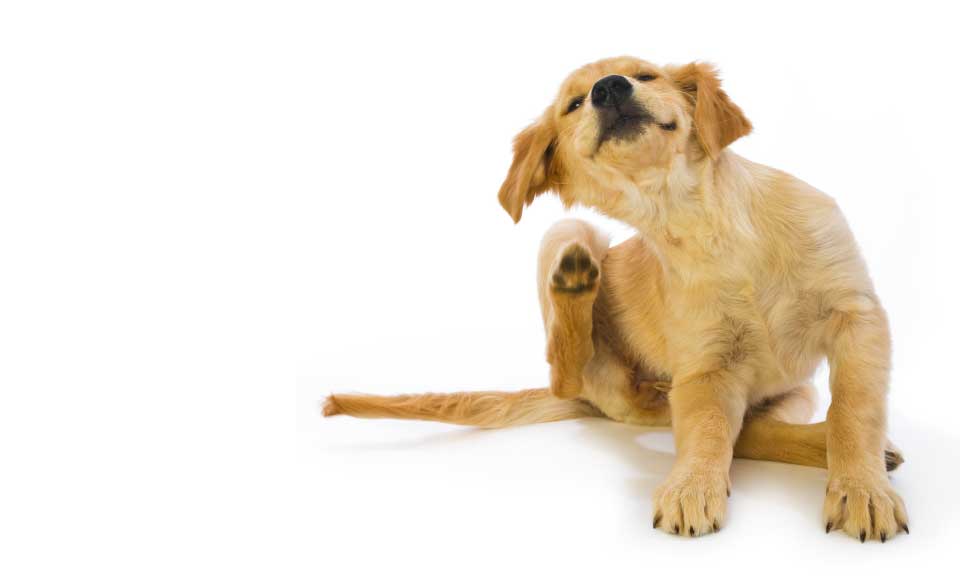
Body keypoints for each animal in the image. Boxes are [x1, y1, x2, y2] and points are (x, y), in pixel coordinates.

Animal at [324, 56, 907, 542]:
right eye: (574, 103)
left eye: (646, 74)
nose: (608, 88)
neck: (704, 223)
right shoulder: (705, 368)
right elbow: (708, 429)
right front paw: (693, 486)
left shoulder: (858, 317)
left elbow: (854, 410)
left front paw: (862, 490)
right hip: (567, 237)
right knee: (569, 366)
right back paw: (576, 283)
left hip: (793, 393)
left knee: (757, 428)